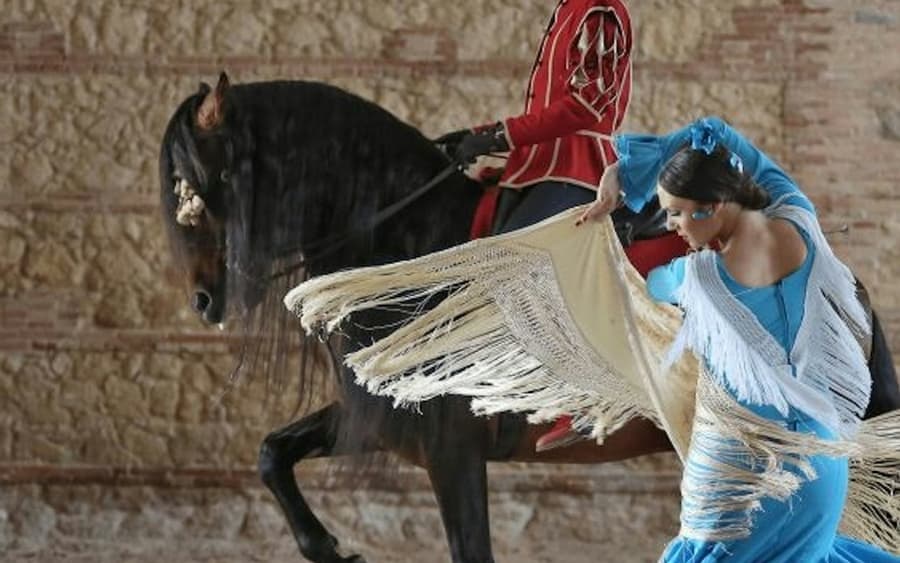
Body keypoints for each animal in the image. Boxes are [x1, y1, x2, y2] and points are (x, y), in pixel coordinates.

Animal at [158, 72, 900, 563]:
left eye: (193, 191)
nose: (203, 300)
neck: (407, 238)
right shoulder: (383, 420)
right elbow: (271, 453)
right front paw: (327, 545)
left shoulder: (451, 451)